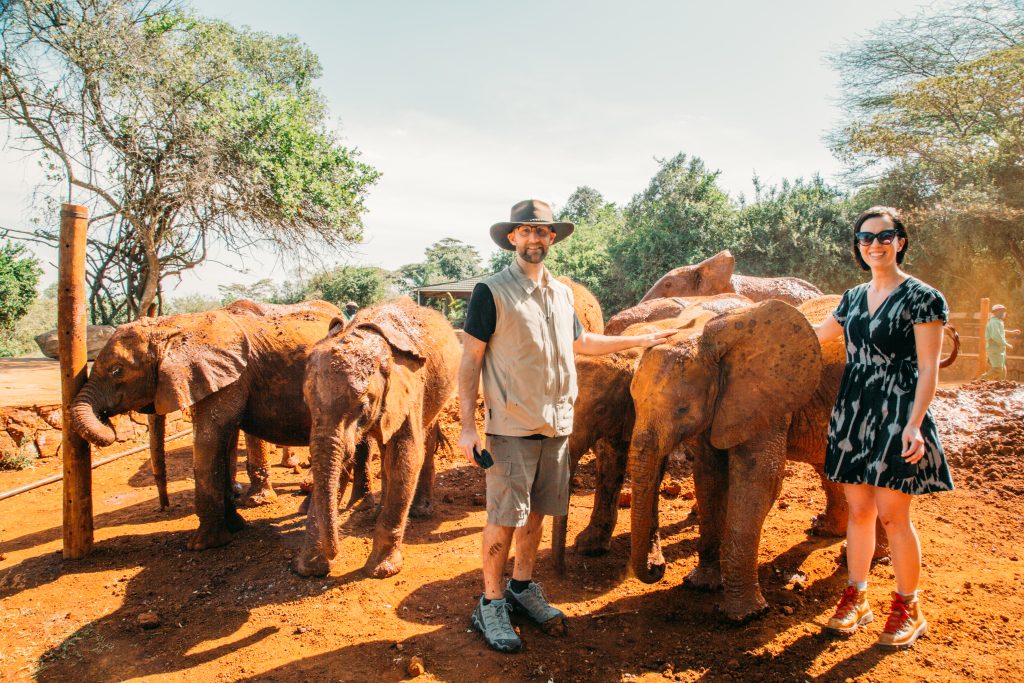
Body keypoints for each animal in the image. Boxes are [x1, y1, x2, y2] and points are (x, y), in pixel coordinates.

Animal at [74, 299, 344, 548]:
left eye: (117, 371)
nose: (164, 507)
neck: (174, 326)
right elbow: (225, 442)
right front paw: (236, 525)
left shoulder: (229, 379)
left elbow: (208, 440)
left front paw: (203, 544)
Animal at [294, 296, 458, 581]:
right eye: (307, 403)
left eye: (361, 406)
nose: (335, 555)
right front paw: (309, 568)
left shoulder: (409, 385)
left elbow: (406, 456)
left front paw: (382, 570)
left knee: (423, 442)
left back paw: (420, 511)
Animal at [622, 301, 823, 622]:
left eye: (682, 409)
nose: (658, 568)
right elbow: (709, 477)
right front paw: (701, 586)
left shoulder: (764, 402)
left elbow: (760, 480)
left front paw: (744, 616)